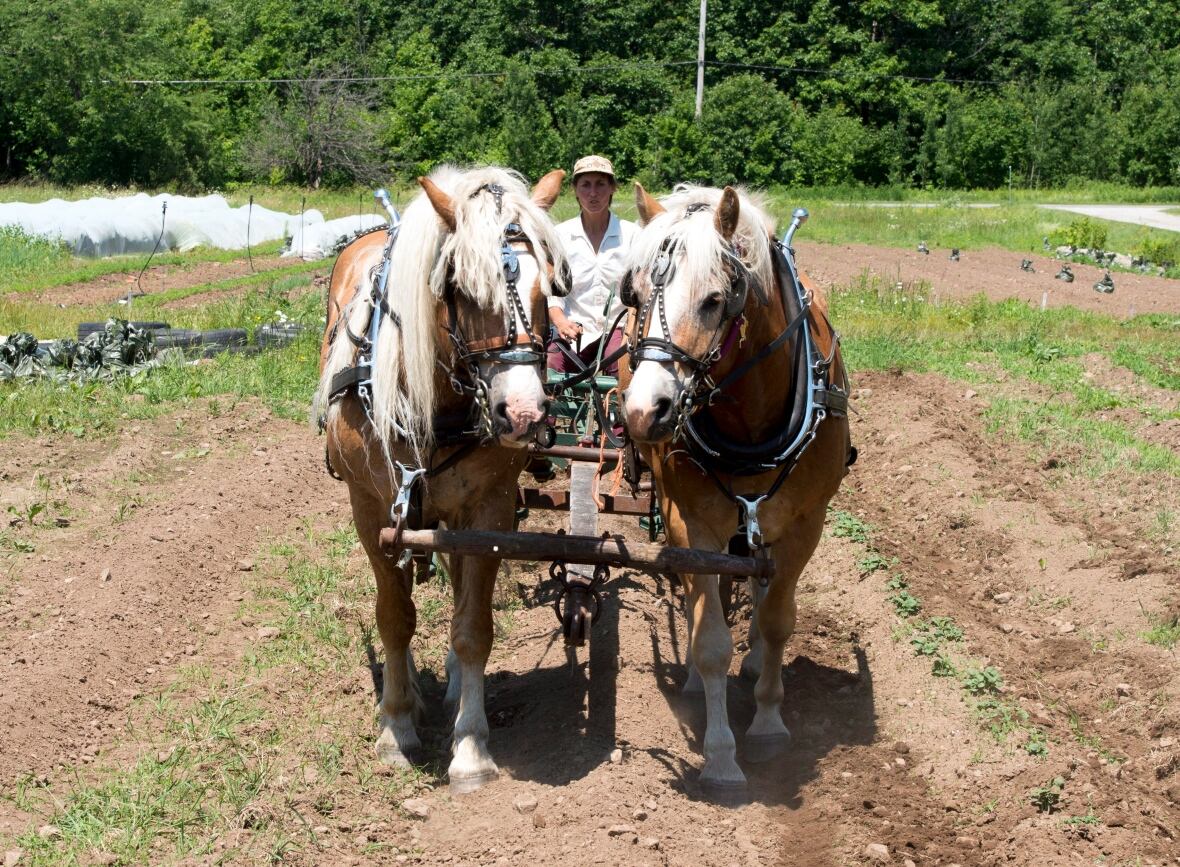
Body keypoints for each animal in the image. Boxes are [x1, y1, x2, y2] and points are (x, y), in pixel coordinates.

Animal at [314, 165, 568, 793]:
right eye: (460, 286)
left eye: (549, 288)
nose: (523, 414)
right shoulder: (371, 511)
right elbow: (393, 618)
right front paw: (396, 725)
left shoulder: (489, 510)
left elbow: (472, 625)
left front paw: (471, 746)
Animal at [618, 183, 853, 796]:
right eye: (634, 294)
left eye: (714, 300)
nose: (644, 412)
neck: (751, 423)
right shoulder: (692, 521)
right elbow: (709, 639)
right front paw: (721, 754)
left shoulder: (804, 526)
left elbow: (776, 619)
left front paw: (768, 721)